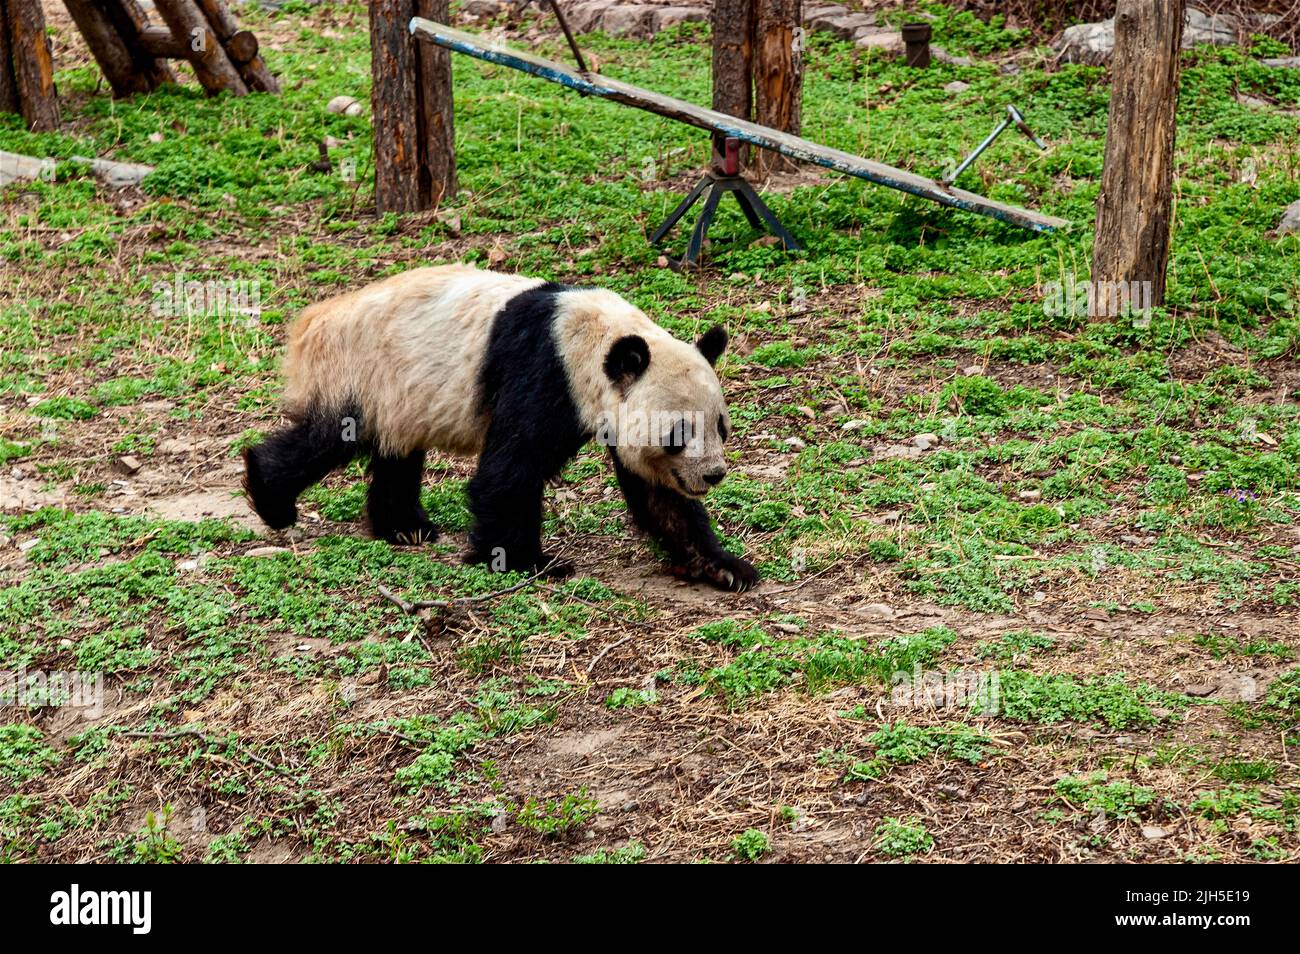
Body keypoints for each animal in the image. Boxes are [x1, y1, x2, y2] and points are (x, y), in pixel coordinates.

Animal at [241, 261, 759, 590]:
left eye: (720, 427)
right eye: (679, 433)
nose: (713, 474)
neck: (602, 340)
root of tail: (314, 319)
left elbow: (658, 493)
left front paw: (724, 567)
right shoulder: (546, 370)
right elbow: (511, 470)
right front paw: (527, 562)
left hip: (399, 392)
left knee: (396, 452)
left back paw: (404, 528)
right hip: (359, 369)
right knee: (329, 437)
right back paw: (271, 497)